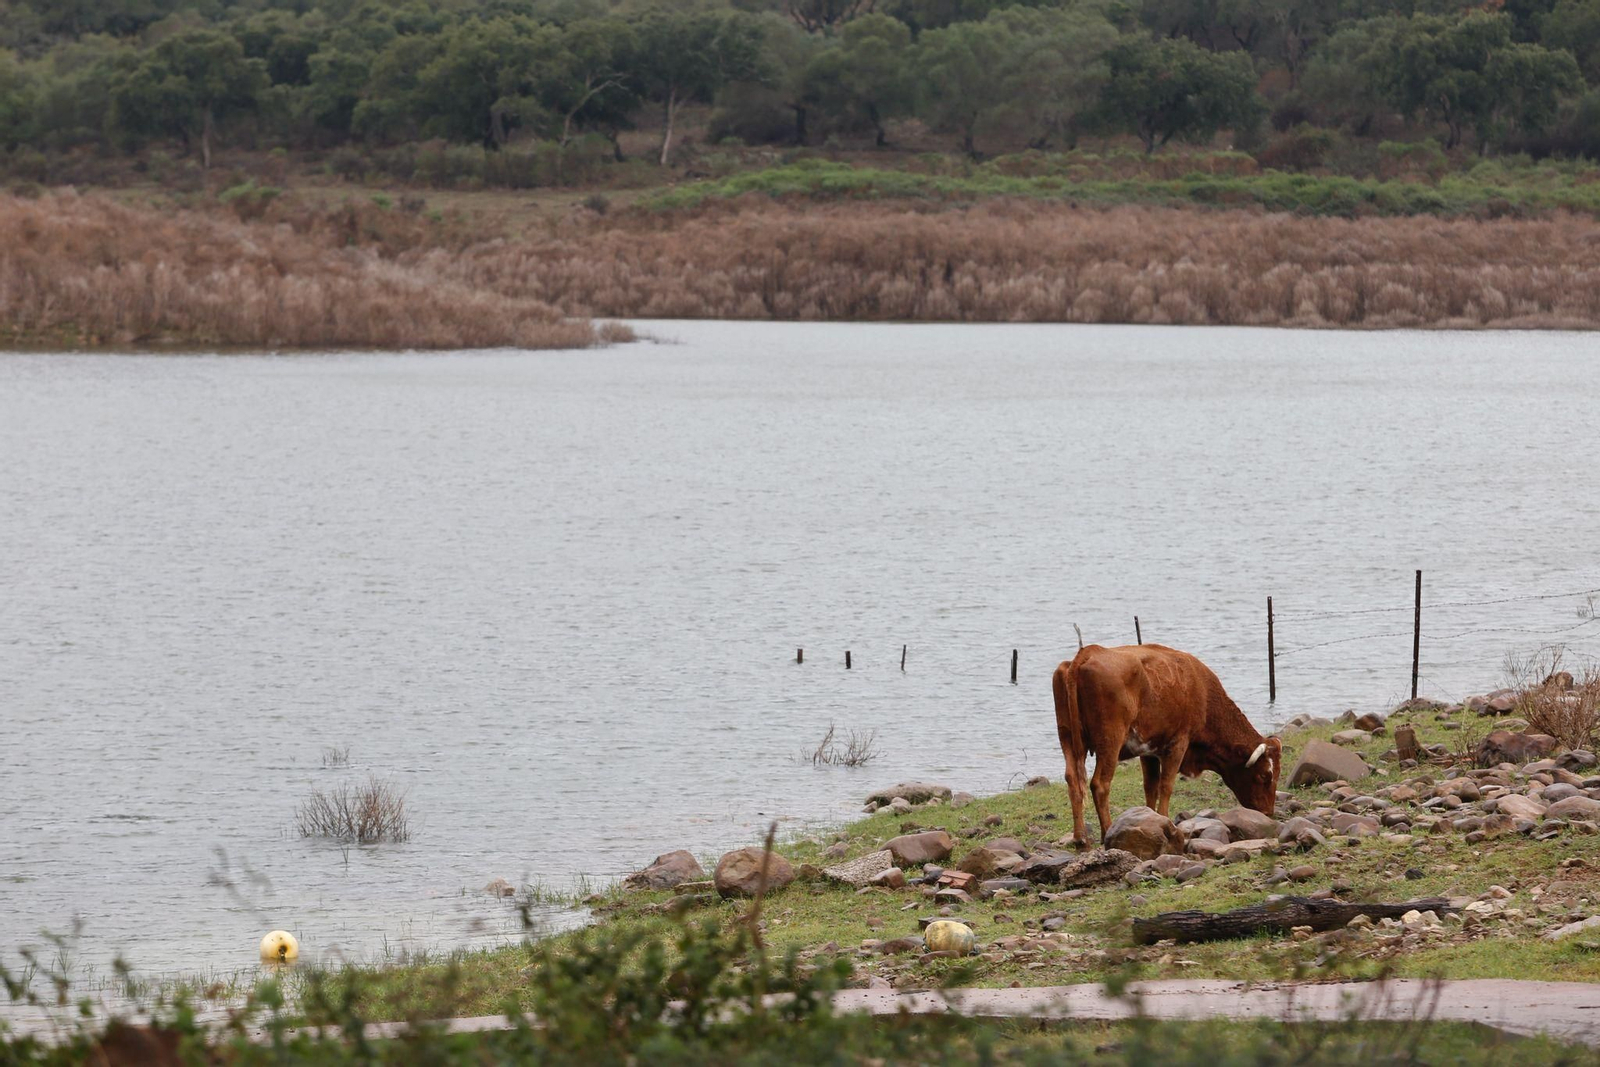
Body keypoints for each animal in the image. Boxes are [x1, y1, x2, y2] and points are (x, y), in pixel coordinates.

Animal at [1051, 643, 1282, 847]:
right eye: (1265, 775)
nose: (1268, 813)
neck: (1201, 689)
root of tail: (1087, 652)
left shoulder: (1148, 751)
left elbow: (1150, 786)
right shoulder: (1178, 742)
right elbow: (1166, 784)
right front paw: (1165, 821)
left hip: (1067, 739)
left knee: (1073, 780)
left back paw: (1080, 837)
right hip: (1110, 742)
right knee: (1100, 784)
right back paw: (1106, 831)